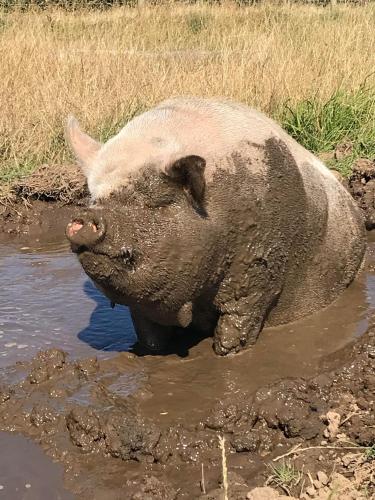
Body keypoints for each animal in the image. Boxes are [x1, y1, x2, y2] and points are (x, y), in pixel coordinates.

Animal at [65, 96, 368, 356]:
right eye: (94, 198)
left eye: (153, 200)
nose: (85, 217)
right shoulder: (143, 308)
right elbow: (149, 337)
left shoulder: (261, 265)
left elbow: (237, 322)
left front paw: (228, 353)